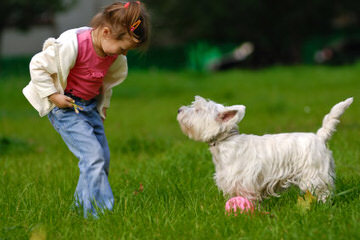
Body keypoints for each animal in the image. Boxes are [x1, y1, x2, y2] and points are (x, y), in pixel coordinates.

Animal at [176, 95, 352, 202]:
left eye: (198, 110)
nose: (179, 110)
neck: (225, 142)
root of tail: (320, 137)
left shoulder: (245, 182)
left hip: (315, 176)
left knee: (323, 192)